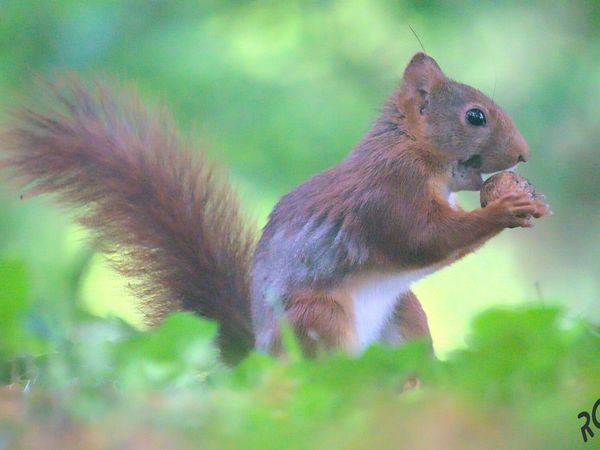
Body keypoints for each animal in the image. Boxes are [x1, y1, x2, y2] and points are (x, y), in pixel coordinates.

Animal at [2, 52, 552, 362]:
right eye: (475, 117)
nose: (525, 153)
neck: (410, 149)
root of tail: (259, 362)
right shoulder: (388, 195)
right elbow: (423, 240)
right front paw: (505, 208)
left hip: (404, 314)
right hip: (317, 315)